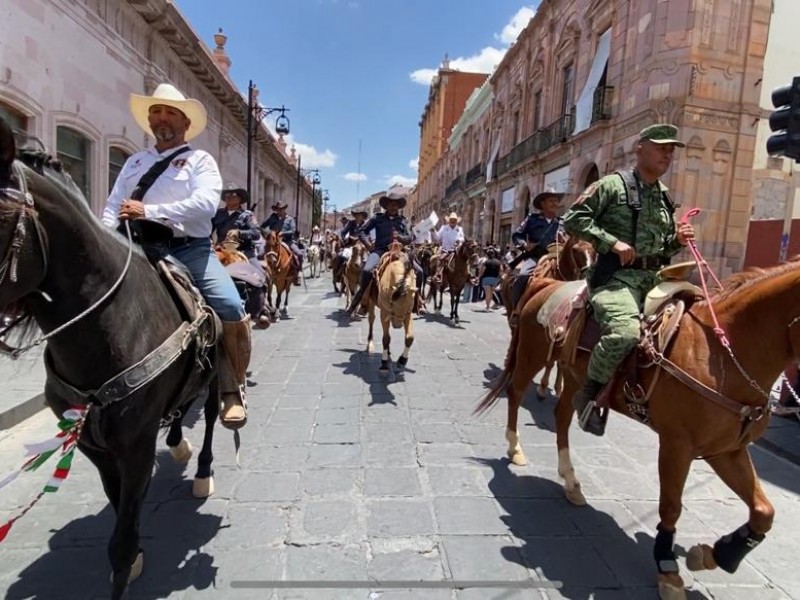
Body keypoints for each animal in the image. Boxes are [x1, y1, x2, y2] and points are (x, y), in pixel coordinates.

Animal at [476, 264, 800, 600]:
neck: (722, 353)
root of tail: (546, 284)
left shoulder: (726, 450)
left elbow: (763, 512)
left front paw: (717, 555)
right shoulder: (676, 445)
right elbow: (671, 506)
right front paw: (668, 567)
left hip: (574, 375)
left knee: (561, 416)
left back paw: (571, 481)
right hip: (532, 354)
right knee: (515, 393)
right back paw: (515, 448)